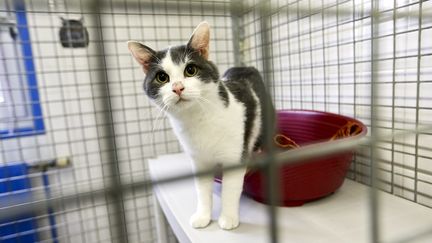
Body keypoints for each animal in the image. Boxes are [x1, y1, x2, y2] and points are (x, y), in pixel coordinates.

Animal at [128, 21, 276, 230]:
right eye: (162, 77)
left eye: (190, 70)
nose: (178, 87)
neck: (198, 119)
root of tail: (244, 67)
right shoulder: (198, 159)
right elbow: (202, 190)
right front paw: (203, 216)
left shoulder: (235, 155)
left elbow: (230, 189)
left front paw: (228, 218)